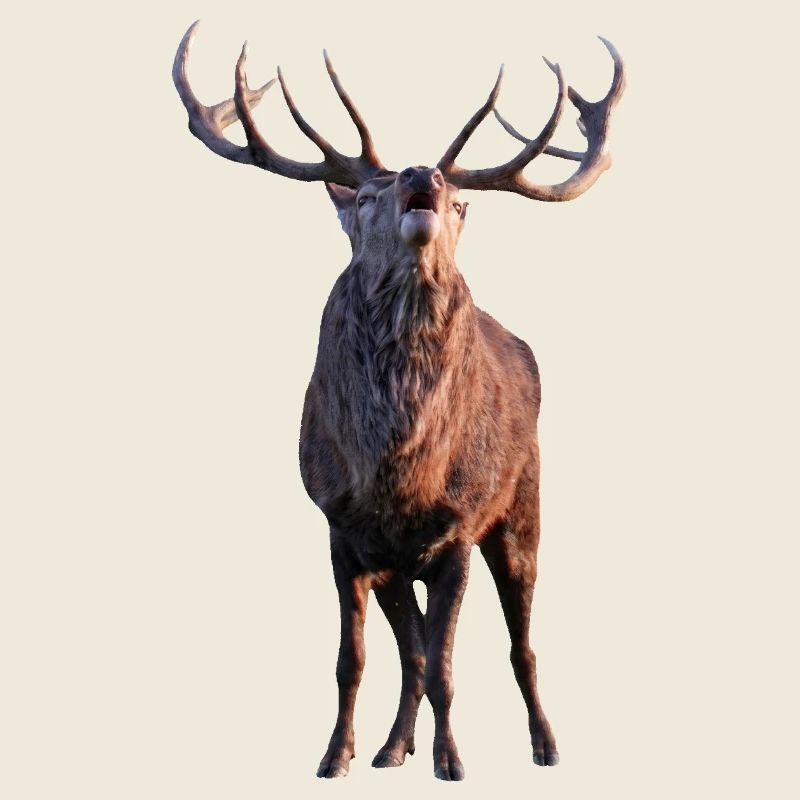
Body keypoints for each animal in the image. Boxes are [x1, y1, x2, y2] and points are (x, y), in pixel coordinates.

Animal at [173, 21, 624, 781]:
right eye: (364, 197)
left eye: (462, 204)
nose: (423, 176)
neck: (398, 469)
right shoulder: (343, 529)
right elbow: (354, 661)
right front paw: (336, 756)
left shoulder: (457, 530)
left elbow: (445, 664)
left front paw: (452, 762)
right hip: (397, 565)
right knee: (409, 650)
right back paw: (391, 748)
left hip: (523, 511)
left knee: (521, 643)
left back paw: (545, 744)